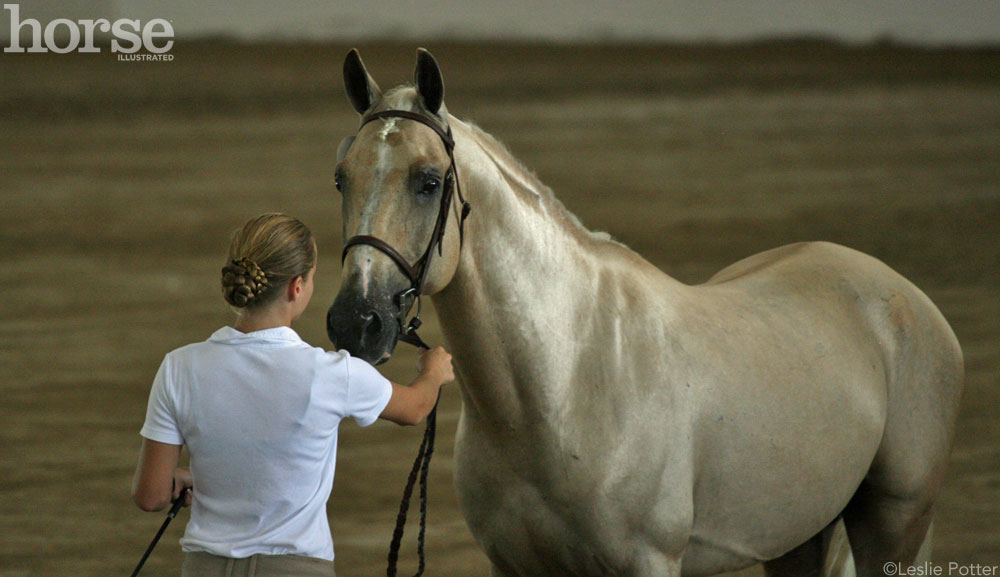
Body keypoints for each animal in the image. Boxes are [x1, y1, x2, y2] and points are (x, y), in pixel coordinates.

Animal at [326, 48, 960, 576]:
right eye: (341, 178)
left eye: (429, 181)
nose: (355, 322)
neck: (561, 385)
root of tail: (907, 298)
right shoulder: (514, 566)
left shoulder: (648, 561)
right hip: (799, 534)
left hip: (897, 519)